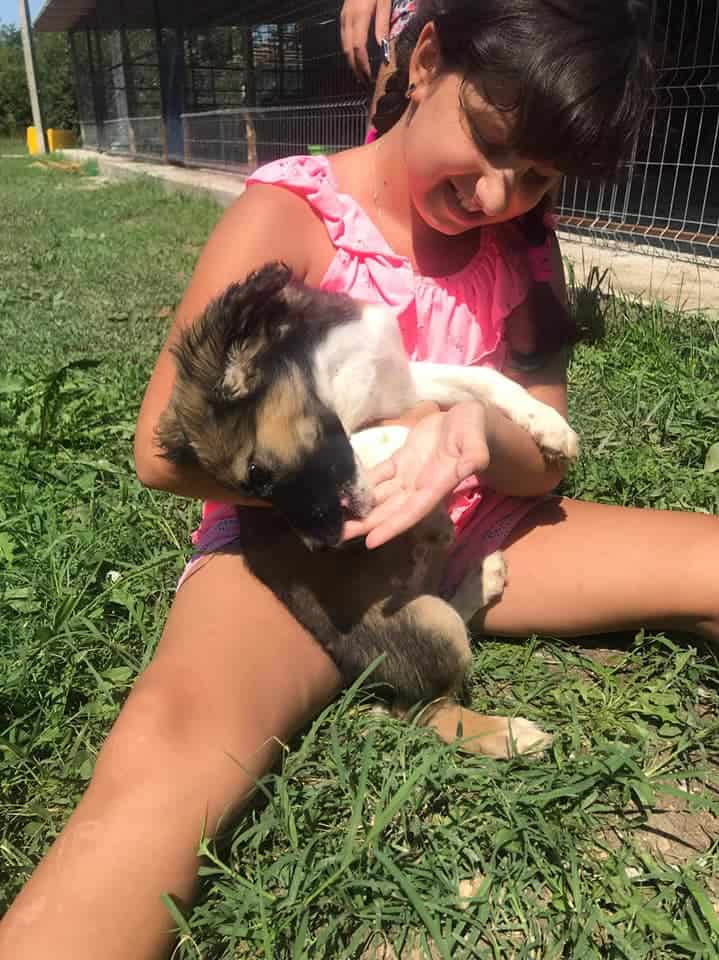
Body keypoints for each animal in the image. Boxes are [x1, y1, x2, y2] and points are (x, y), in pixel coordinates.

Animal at [157, 262, 578, 757]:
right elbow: (381, 435)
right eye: (251, 490)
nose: (321, 545)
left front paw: (548, 425)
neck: (327, 370)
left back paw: (480, 575)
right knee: (422, 709)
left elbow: (482, 380)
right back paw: (511, 735)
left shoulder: (402, 381)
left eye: (257, 474)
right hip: (428, 625)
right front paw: (424, 444)